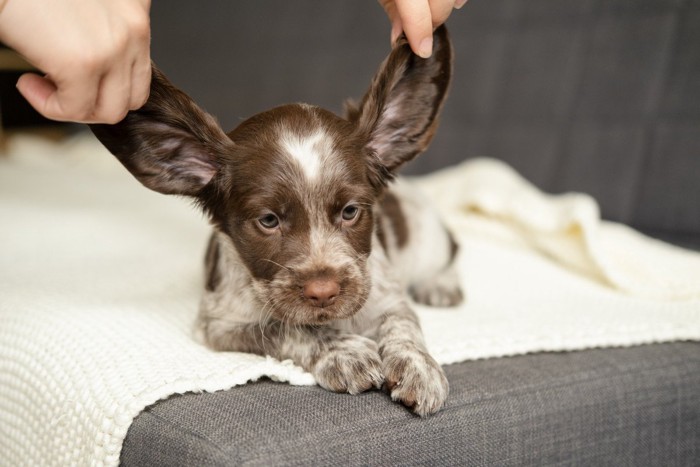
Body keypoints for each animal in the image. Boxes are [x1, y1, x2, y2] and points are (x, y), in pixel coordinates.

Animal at [93, 25, 464, 416]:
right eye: (268, 220)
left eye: (350, 212)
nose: (323, 291)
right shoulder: (221, 323)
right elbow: (285, 329)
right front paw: (343, 350)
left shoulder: (387, 296)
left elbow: (404, 324)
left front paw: (419, 366)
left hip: (428, 239)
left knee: (452, 247)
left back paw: (441, 285)